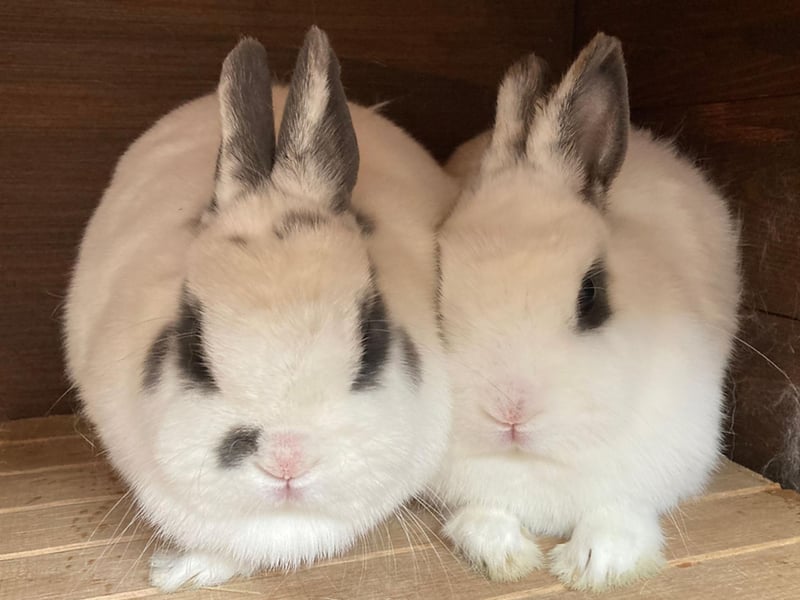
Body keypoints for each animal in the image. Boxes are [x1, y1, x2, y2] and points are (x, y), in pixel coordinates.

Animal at [431, 33, 741, 591]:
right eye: (440, 280)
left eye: (591, 295)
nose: (510, 413)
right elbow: (486, 510)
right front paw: (501, 552)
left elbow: (617, 510)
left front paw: (597, 564)